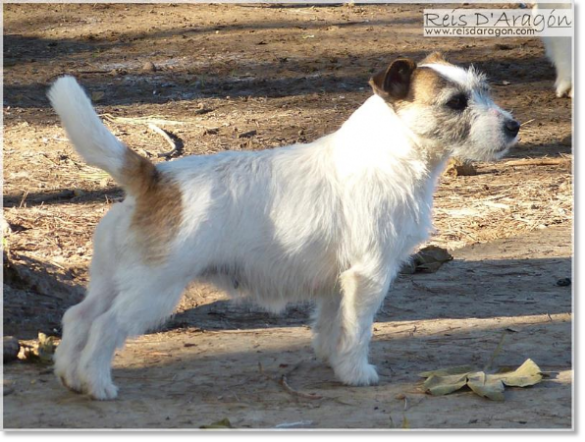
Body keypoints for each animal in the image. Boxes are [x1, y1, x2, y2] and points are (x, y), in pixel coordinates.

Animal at [48, 52, 516, 400]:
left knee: (77, 317)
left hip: (111, 280)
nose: (514, 126)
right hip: (153, 291)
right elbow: (359, 329)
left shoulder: (337, 282)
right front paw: (356, 372)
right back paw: (97, 384)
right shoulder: (369, 275)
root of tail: (154, 178)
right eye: (455, 102)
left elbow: (331, 323)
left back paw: (70, 376)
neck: (391, 155)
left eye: (483, 89)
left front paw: (332, 359)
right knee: (105, 327)